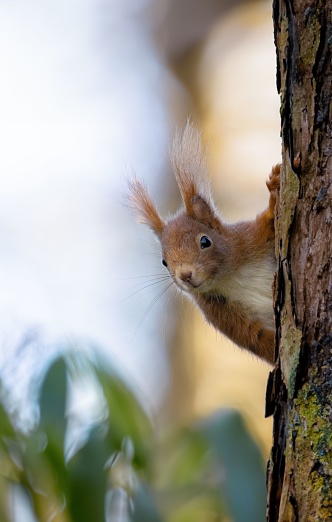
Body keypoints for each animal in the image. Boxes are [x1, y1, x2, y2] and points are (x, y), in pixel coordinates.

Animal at [128, 121, 278, 362]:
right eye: (164, 262)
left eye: (205, 241)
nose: (185, 275)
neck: (229, 277)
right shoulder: (220, 313)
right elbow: (257, 339)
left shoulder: (250, 238)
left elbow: (268, 223)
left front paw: (274, 189)